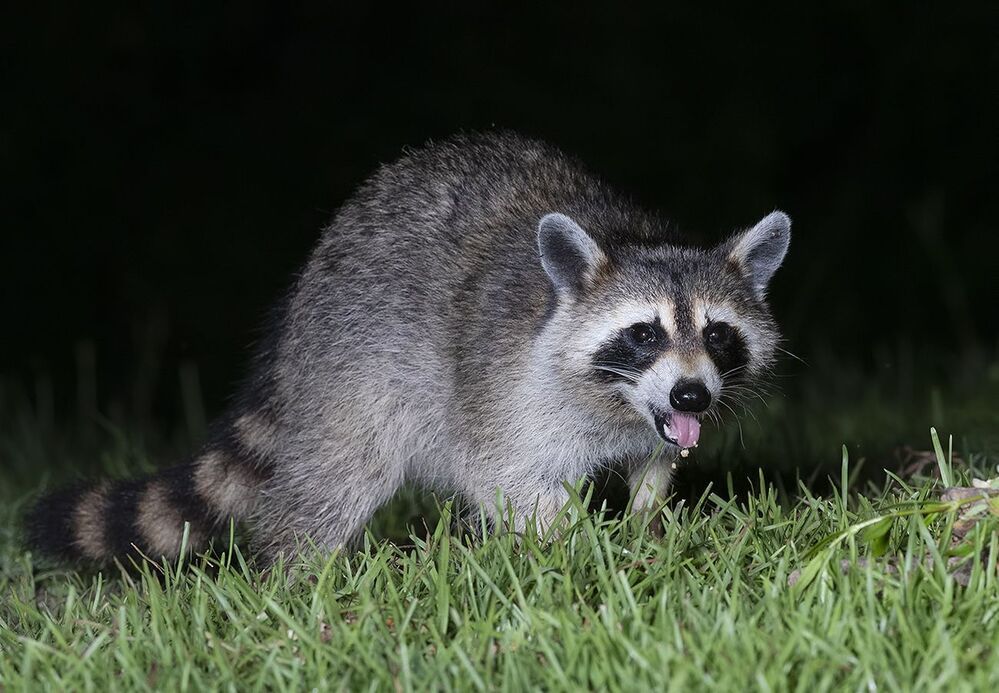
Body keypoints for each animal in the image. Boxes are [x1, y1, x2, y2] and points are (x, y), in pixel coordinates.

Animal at [26, 132, 790, 565]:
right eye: (643, 334)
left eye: (717, 335)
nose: (692, 393)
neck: (616, 403)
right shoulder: (501, 389)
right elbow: (507, 477)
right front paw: (579, 544)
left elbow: (654, 466)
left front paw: (644, 524)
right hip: (353, 367)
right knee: (335, 478)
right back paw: (297, 573)